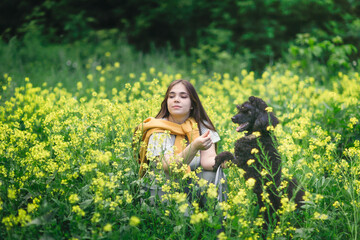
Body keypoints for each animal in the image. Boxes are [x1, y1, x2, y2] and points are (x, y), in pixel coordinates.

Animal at [214, 97, 304, 229]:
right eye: (240, 109)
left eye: (248, 111)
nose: (233, 118)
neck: (258, 135)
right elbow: (226, 154)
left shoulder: (241, 160)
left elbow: (228, 155)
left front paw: (217, 161)